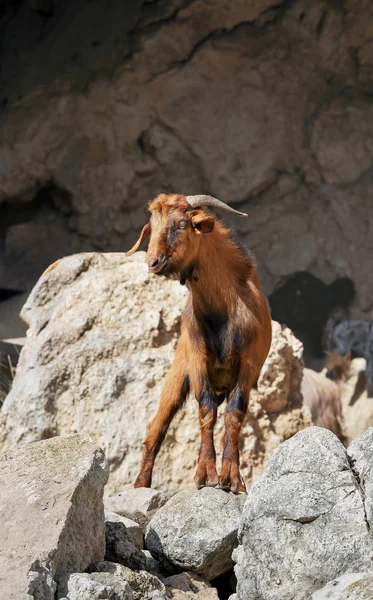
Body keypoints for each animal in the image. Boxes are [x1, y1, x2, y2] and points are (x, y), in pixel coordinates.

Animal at [125, 192, 270, 492]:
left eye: (181, 225)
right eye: (152, 226)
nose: (152, 262)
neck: (224, 311)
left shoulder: (249, 364)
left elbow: (234, 414)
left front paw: (232, 479)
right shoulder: (197, 358)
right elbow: (206, 410)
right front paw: (207, 475)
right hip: (177, 373)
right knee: (157, 427)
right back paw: (140, 485)